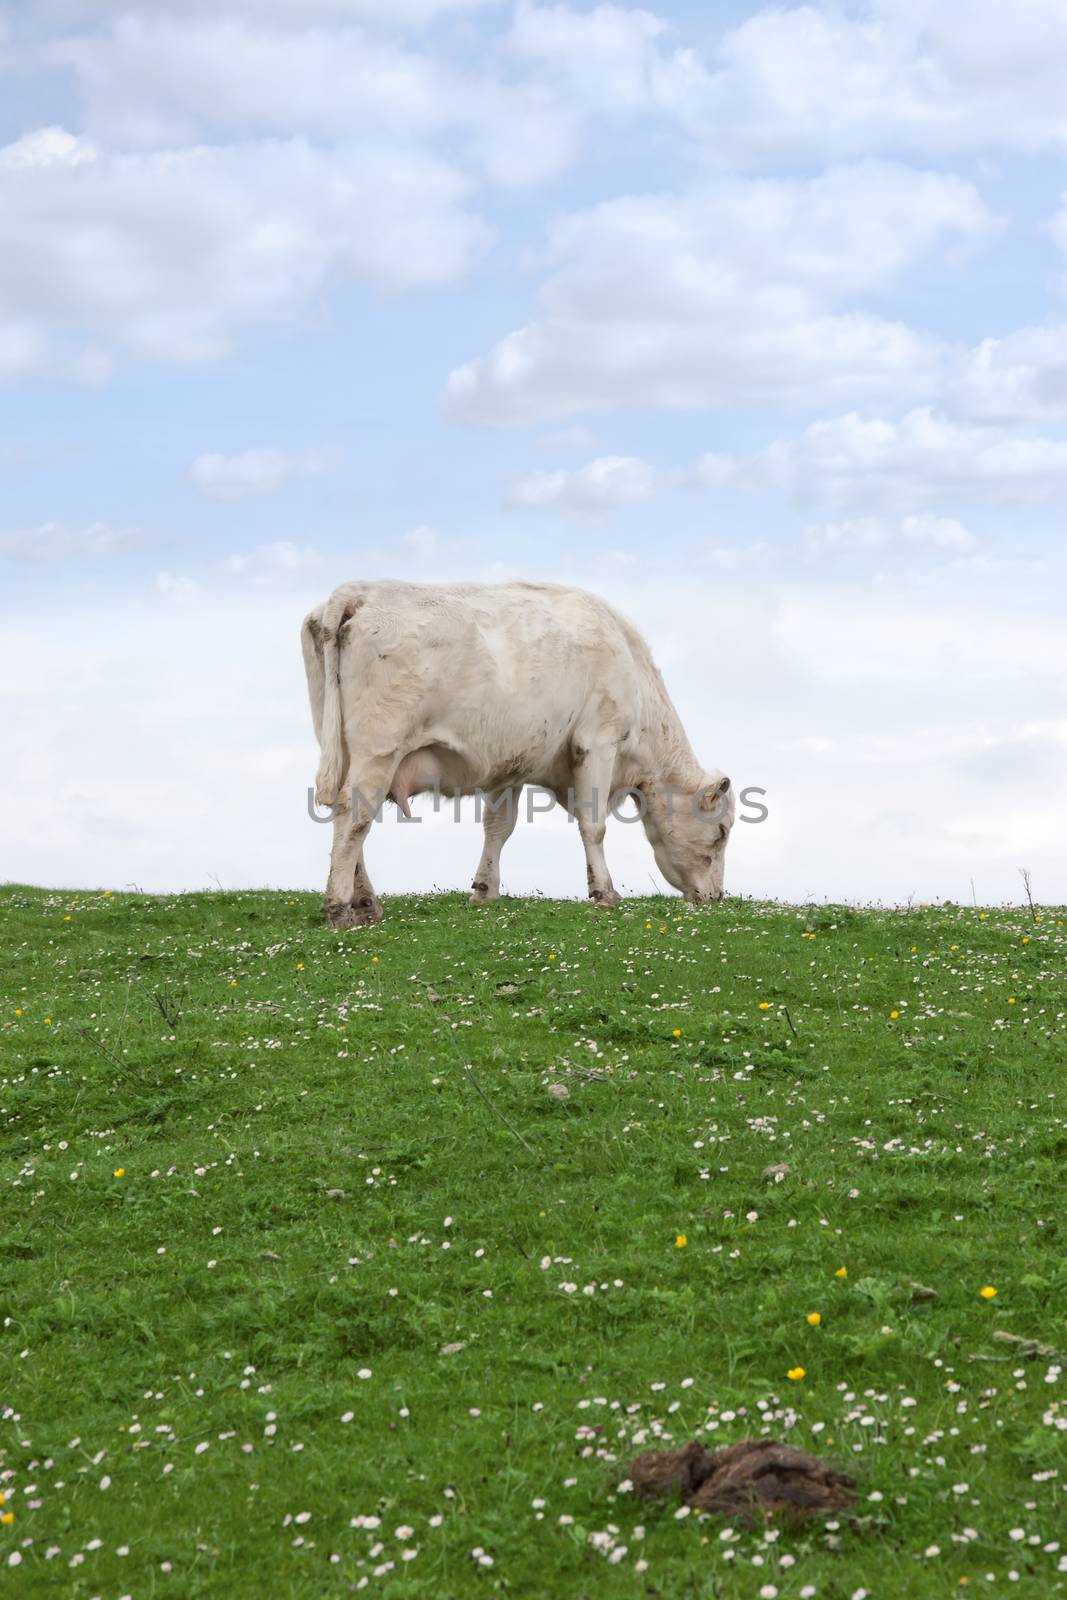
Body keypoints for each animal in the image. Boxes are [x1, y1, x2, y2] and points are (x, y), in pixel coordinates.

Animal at [300, 579, 735, 928]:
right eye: (722, 832)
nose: (716, 897)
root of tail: (361, 590)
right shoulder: (598, 740)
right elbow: (593, 824)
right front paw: (604, 893)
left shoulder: (512, 764)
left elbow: (498, 827)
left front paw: (484, 889)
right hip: (379, 746)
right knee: (354, 814)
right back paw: (341, 908)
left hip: (340, 744)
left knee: (347, 819)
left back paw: (366, 903)